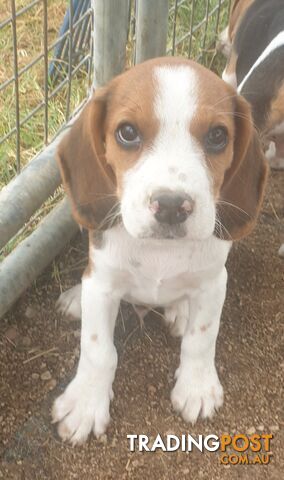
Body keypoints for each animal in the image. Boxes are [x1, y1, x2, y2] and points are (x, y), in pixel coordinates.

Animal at [51, 57, 268, 446]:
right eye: (127, 132)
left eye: (217, 136)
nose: (171, 206)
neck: (160, 251)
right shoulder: (103, 284)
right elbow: (98, 349)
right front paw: (86, 403)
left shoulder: (214, 283)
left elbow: (202, 337)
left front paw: (197, 387)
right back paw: (76, 297)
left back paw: (180, 310)